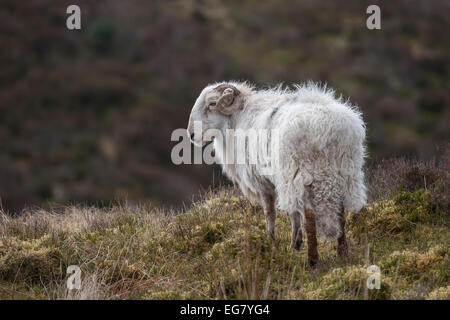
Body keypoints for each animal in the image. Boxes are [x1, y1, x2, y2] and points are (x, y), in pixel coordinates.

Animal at [186, 81, 366, 266]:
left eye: (212, 103)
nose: (191, 134)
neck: (237, 119)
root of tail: (326, 129)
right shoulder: (282, 179)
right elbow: (293, 214)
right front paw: (295, 244)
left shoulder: (264, 182)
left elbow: (271, 213)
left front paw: (271, 242)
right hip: (345, 173)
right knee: (340, 211)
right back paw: (342, 252)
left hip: (302, 172)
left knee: (310, 215)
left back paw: (312, 260)